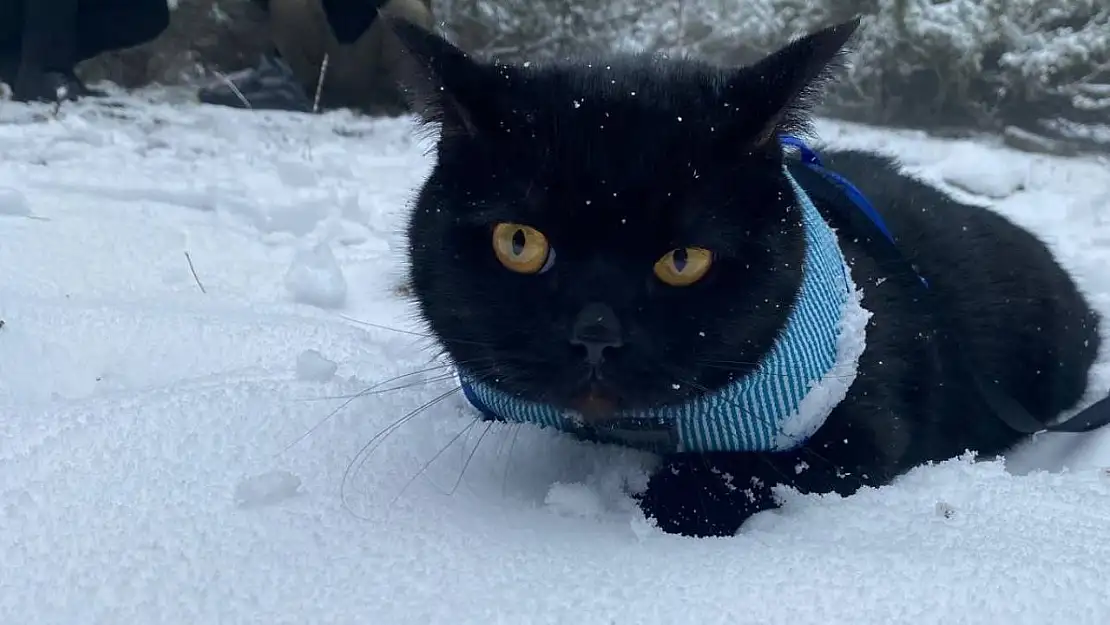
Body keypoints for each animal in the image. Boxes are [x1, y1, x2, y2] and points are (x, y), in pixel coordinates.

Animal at [392, 18, 1101, 537]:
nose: (595, 334)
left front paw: (661, 501)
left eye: (684, 260)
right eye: (519, 242)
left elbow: (739, 474)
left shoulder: (860, 426)